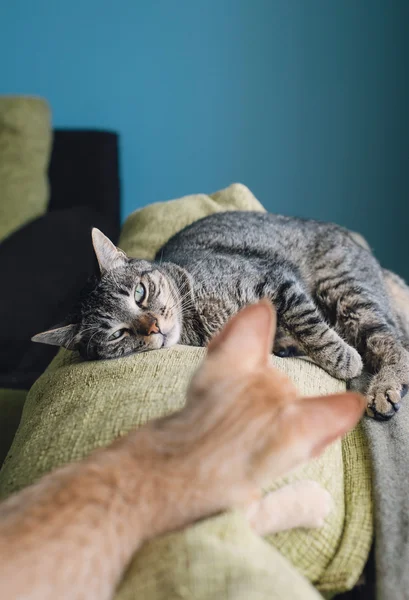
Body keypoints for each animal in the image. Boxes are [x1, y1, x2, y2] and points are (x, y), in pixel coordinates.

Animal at [32, 213, 408, 420]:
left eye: (139, 293)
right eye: (116, 334)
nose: (153, 326)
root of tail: (349, 234)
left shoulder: (275, 281)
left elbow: (310, 325)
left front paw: (342, 359)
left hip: (345, 289)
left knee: (393, 342)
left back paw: (383, 388)